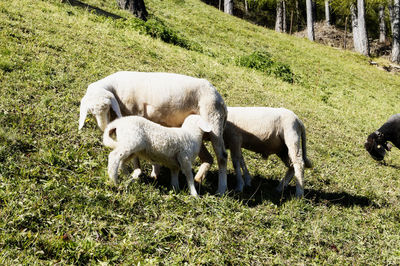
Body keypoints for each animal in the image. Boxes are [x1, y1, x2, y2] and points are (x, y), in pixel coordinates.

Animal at [78, 71, 228, 194]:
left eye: (107, 107)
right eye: (91, 111)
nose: (104, 127)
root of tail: (220, 98)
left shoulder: (138, 115)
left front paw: (142, 171)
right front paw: (142, 172)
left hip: (213, 120)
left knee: (222, 157)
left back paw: (221, 189)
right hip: (199, 130)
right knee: (208, 158)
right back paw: (198, 179)